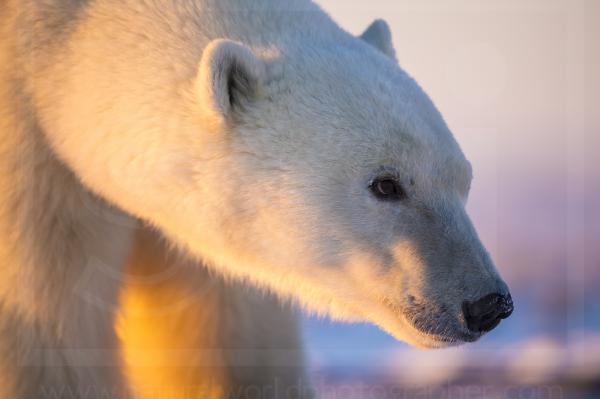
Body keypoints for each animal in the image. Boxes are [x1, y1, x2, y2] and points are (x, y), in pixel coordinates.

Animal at [1, 0, 510, 398]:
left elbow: (233, 339)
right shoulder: (31, 166)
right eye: (386, 184)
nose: (488, 304)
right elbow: (47, 325)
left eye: (462, 178)